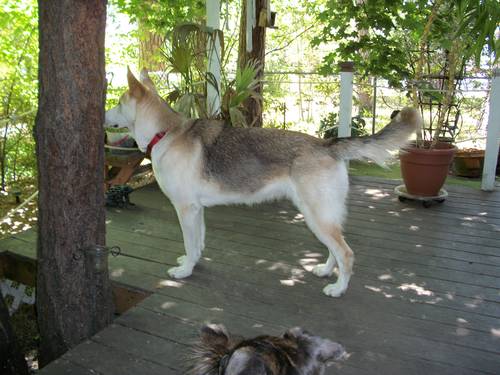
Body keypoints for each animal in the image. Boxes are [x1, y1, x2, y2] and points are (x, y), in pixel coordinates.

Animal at [104, 67, 418, 296]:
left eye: (118, 103)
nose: (103, 115)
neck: (166, 133)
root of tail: (327, 144)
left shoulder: (186, 209)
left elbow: (190, 243)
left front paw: (185, 271)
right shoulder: (197, 210)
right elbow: (198, 242)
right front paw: (190, 262)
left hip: (316, 216)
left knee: (346, 253)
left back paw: (338, 288)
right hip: (320, 216)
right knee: (335, 249)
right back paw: (327, 271)